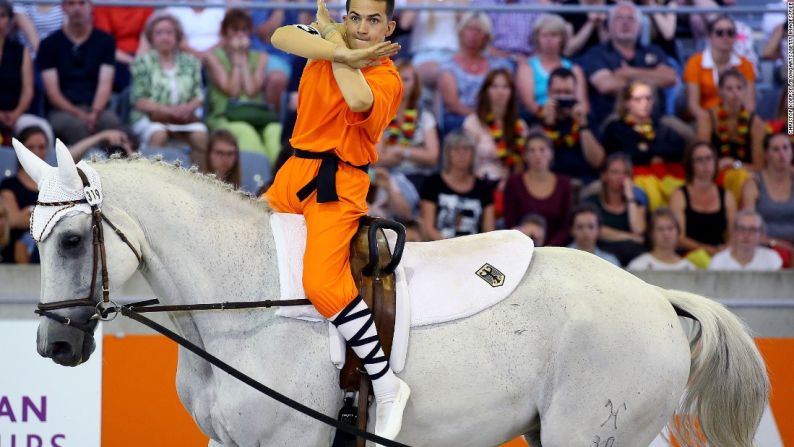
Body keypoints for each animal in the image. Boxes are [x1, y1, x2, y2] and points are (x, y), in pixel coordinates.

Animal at [20, 144, 768, 447]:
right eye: (32, 236)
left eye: (71, 241)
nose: (54, 344)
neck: (242, 305)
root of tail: (657, 298)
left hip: (590, 434)